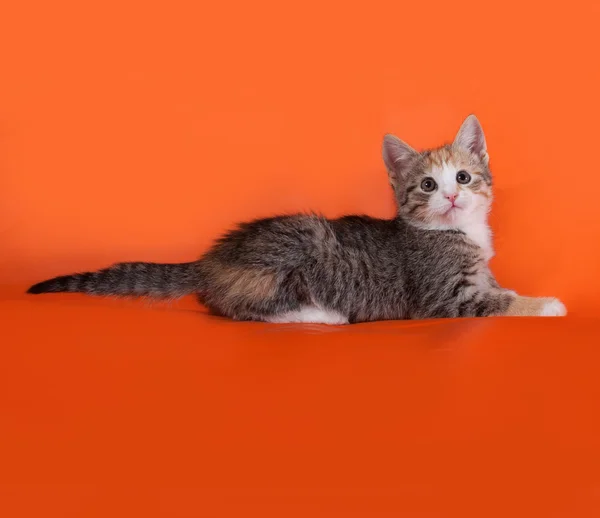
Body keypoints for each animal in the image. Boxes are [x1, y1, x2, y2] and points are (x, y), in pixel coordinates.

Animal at [27, 117, 568, 324]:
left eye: (463, 176)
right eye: (427, 187)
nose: (453, 195)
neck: (456, 233)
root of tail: (211, 259)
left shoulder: (480, 276)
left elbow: (500, 288)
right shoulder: (444, 298)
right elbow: (499, 303)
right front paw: (547, 304)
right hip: (306, 241)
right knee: (236, 306)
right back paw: (319, 314)